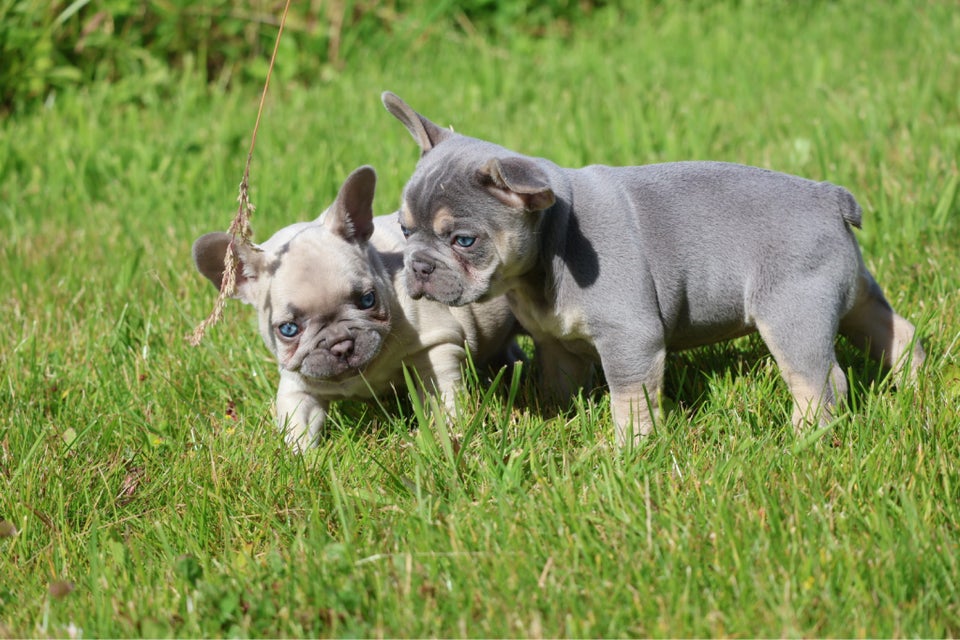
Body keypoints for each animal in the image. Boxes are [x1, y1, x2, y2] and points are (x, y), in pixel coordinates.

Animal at [194, 168, 520, 452]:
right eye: (288, 329)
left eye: (367, 300)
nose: (340, 344)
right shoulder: (297, 385)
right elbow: (297, 424)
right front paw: (302, 460)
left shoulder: (437, 344)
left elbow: (441, 396)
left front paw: (445, 435)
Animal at [380, 92, 924, 448]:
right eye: (405, 230)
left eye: (464, 241)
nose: (419, 267)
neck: (552, 242)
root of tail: (828, 198)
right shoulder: (556, 344)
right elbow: (558, 384)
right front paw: (559, 420)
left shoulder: (630, 341)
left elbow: (629, 401)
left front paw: (628, 450)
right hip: (852, 297)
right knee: (893, 330)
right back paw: (914, 384)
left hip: (793, 317)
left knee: (821, 382)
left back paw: (803, 438)